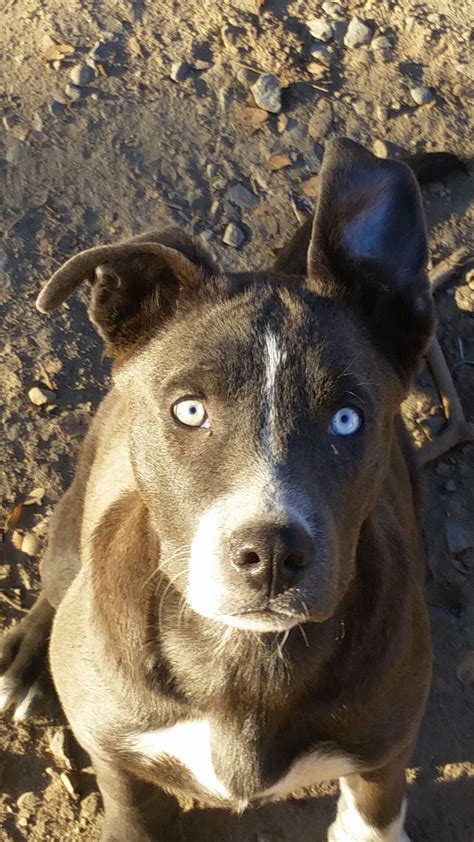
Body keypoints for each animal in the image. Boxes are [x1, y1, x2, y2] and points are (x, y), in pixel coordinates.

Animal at [0, 138, 461, 841]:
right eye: (190, 411)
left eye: (347, 419)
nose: (271, 555)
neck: (241, 656)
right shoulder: (118, 759)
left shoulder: (385, 750)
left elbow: (374, 813)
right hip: (72, 528)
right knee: (55, 586)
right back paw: (26, 660)